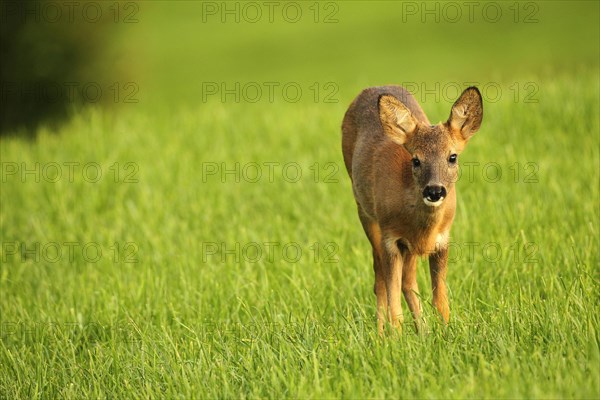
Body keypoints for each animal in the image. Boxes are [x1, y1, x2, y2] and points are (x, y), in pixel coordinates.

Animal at [342, 86, 482, 332]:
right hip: (365, 212)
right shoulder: (390, 238)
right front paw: (395, 337)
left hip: (409, 247)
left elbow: (440, 301)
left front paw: (444, 332)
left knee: (407, 280)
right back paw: (381, 333)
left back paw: (422, 331)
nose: (434, 190)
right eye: (416, 160)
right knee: (379, 277)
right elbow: (394, 301)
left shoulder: (442, 240)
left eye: (452, 157)